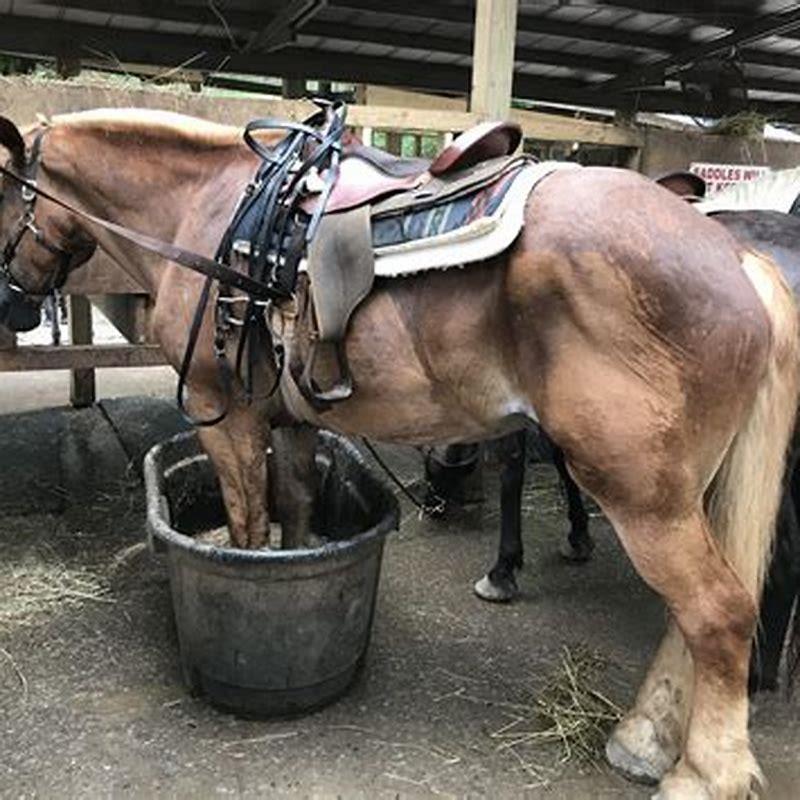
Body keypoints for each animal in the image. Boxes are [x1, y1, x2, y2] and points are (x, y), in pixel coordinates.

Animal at [1, 109, 798, 798]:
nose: (14, 302)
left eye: (6, 194)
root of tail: (737, 258)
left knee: (718, 613)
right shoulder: (291, 421)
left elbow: (246, 531)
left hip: (642, 496)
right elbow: (296, 517)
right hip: (687, 493)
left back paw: (705, 774)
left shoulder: (223, 415)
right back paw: (645, 737)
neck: (212, 210)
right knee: (690, 618)